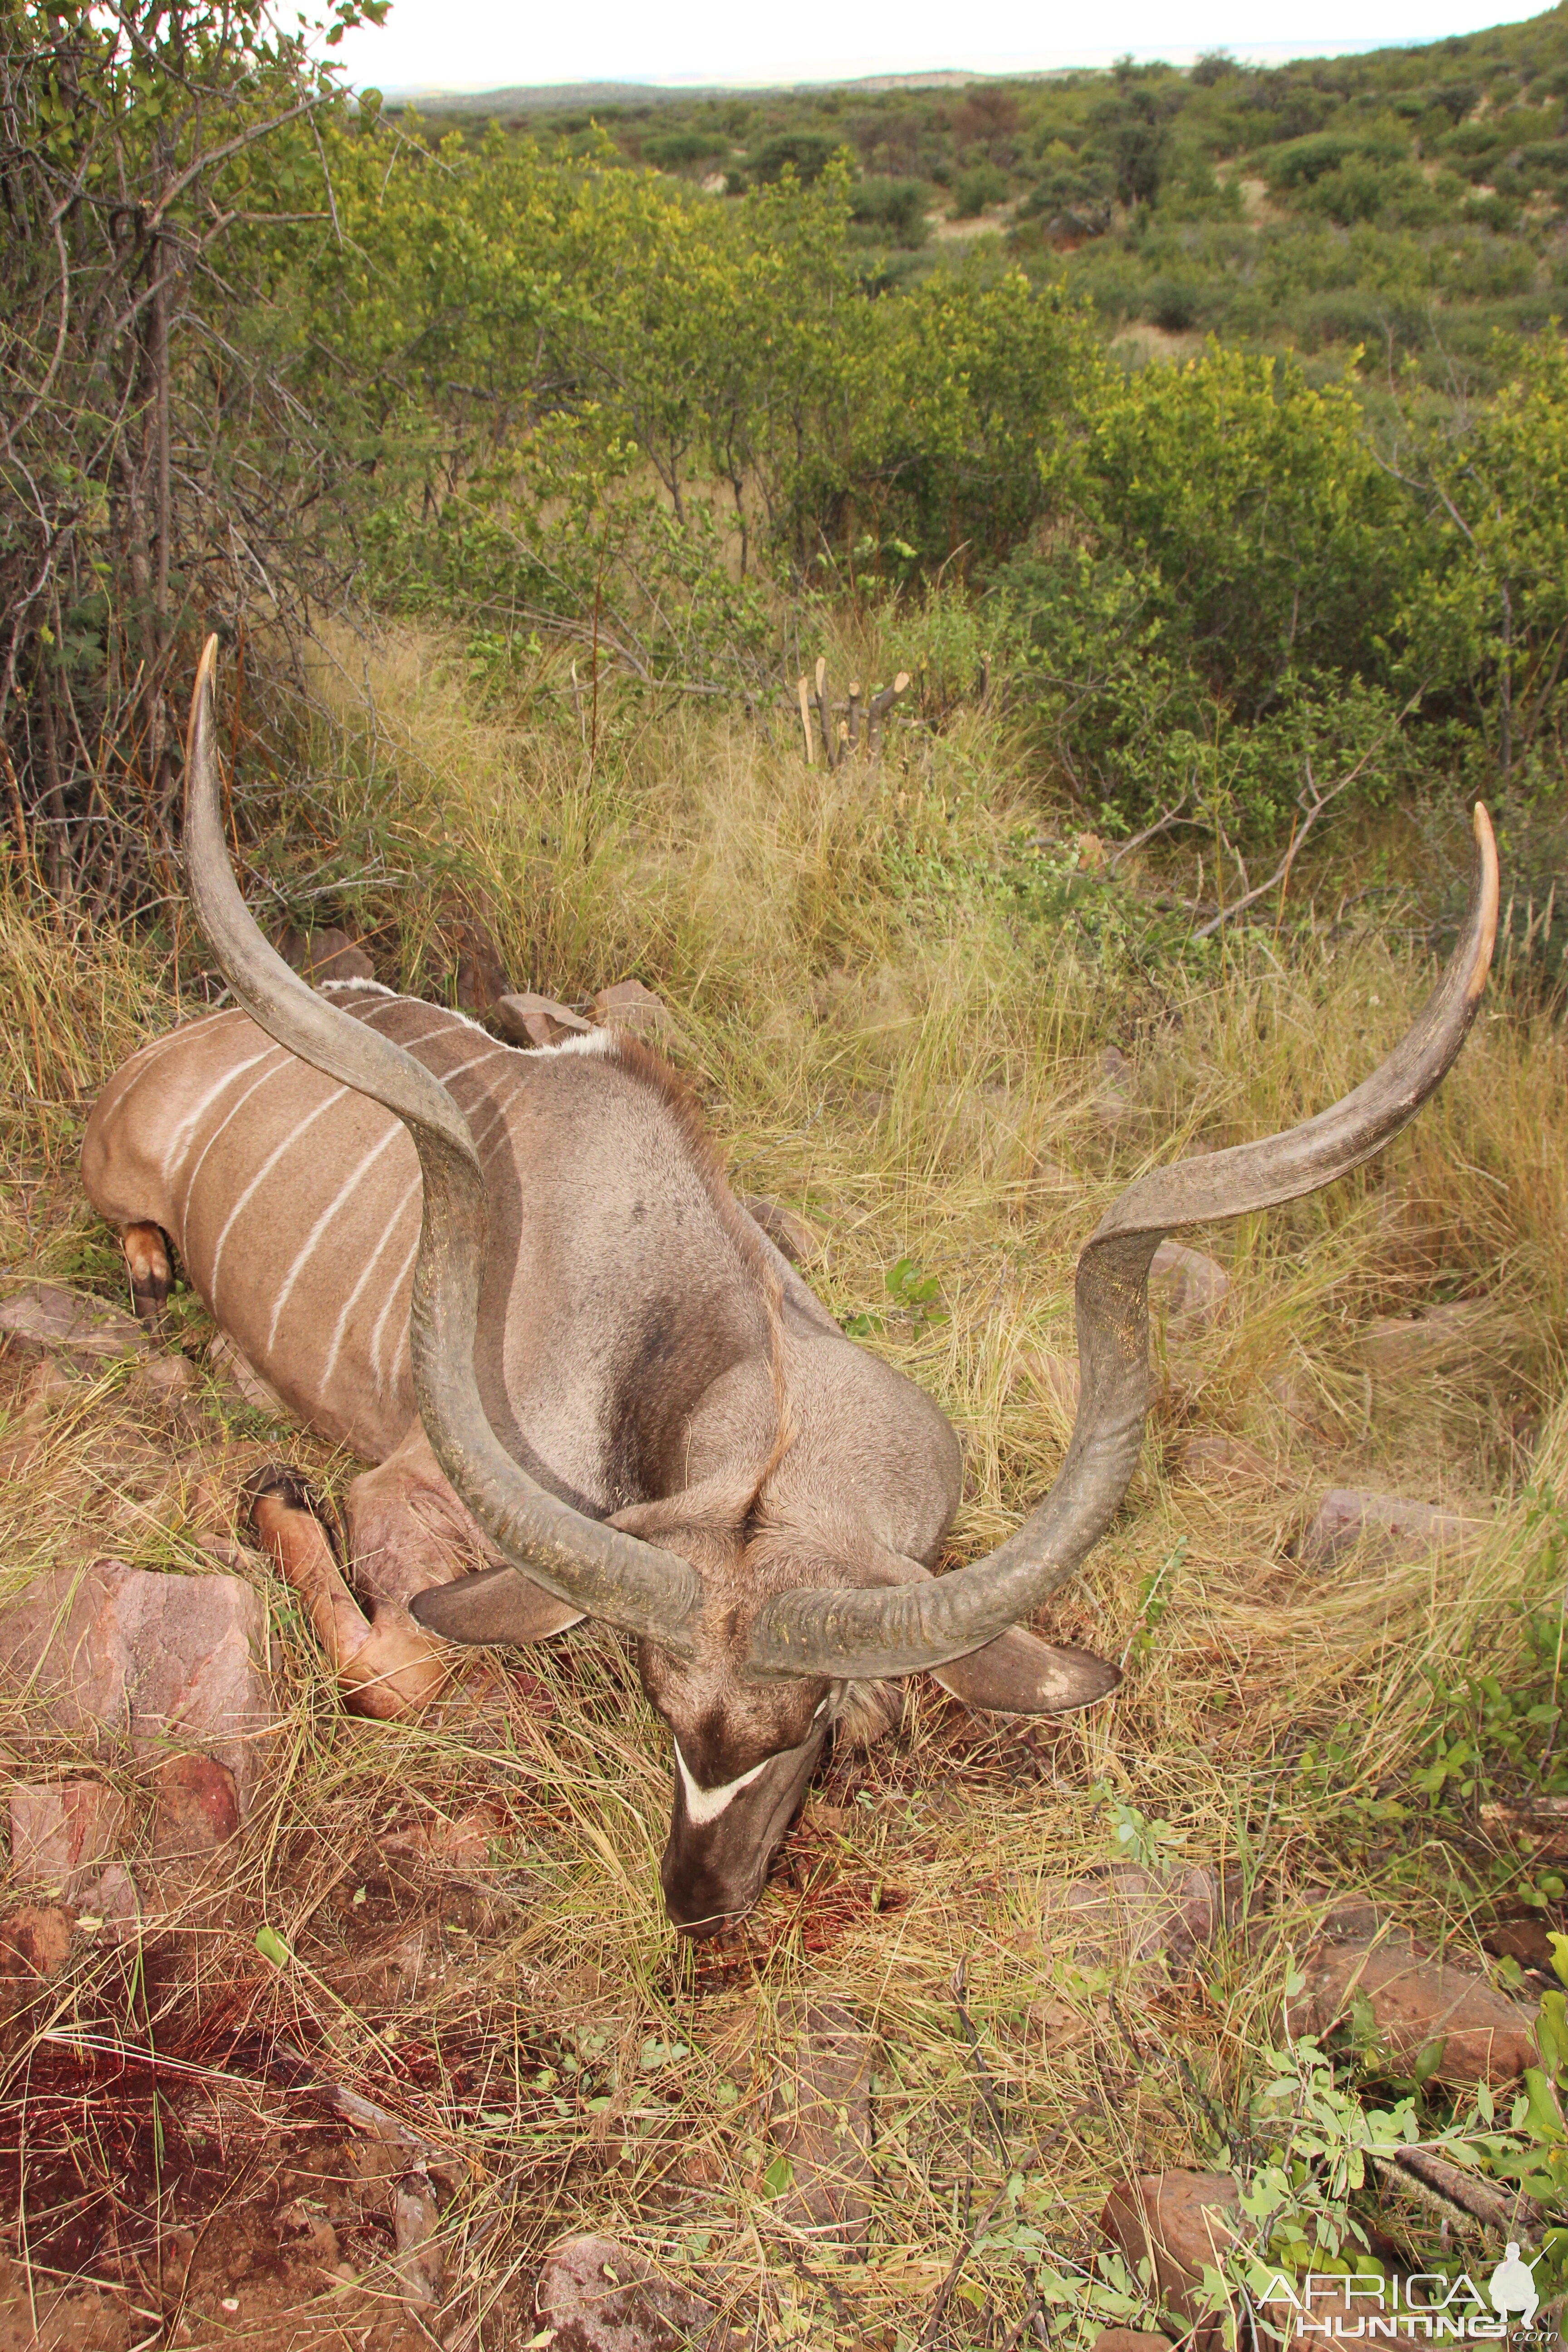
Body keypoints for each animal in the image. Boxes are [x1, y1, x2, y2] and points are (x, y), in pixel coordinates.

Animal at [80, 644, 1504, 1928]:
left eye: (806, 1717)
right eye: (658, 1703)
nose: (697, 1902)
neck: (699, 1336)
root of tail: (176, 1047)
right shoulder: (409, 1491)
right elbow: (398, 1662)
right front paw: (271, 1489)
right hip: (119, 1174)